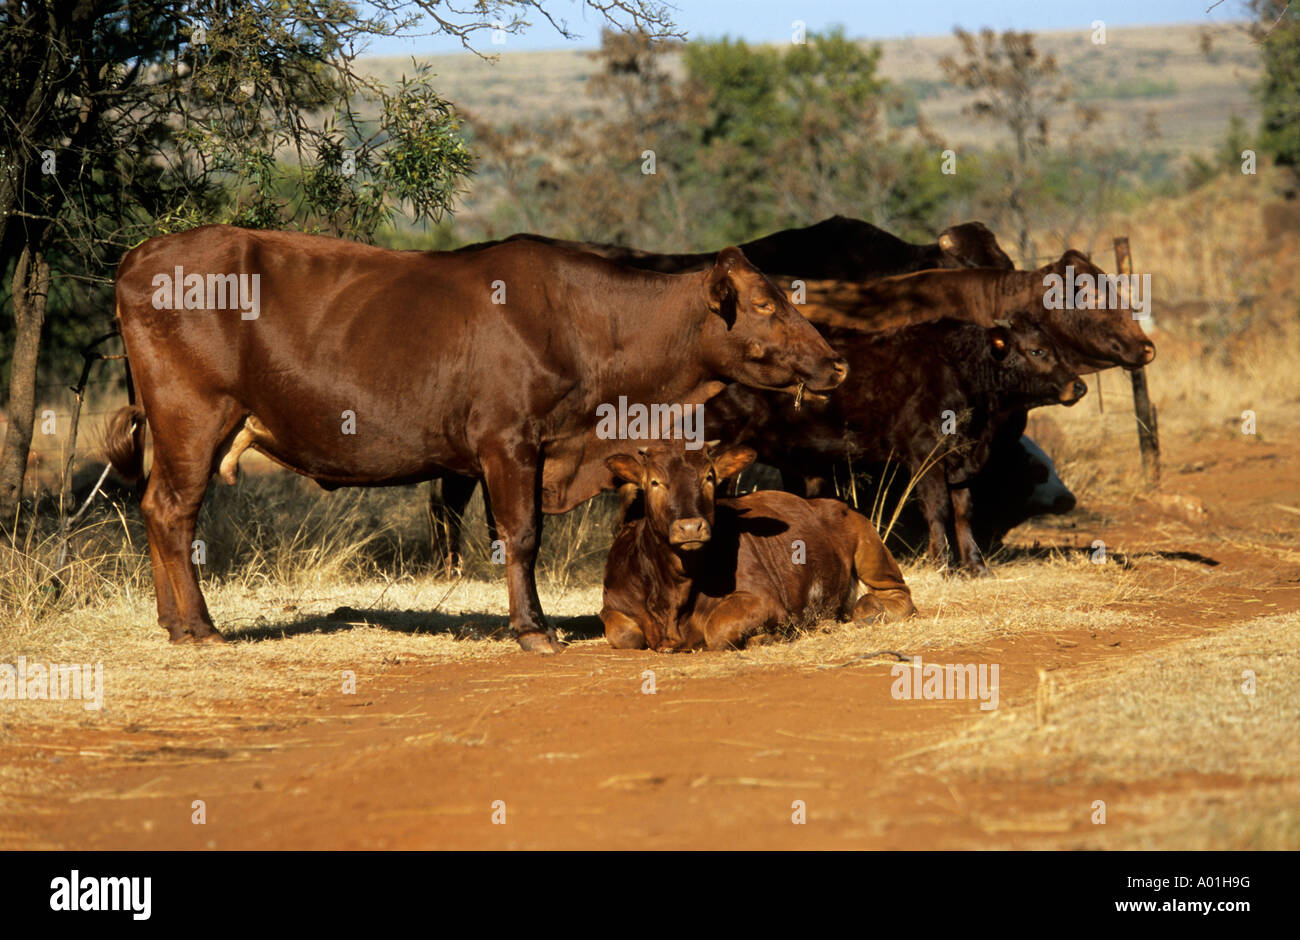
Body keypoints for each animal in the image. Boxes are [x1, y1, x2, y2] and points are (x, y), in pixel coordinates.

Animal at [103, 225, 846, 650]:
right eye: (764, 304)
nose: (835, 362)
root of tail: (139, 255)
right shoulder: (508, 442)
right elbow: (521, 536)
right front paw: (534, 631)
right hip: (194, 416)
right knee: (173, 512)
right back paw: (200, 629)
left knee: (154, 508)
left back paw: (172, 624)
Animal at [599, 440, 916, 651]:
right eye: (654, 482)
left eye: (709, 477)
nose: (690, 527)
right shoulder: (613, 605)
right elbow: (624, 634)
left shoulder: (765, 601)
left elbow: (717, 628)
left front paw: (771, 636)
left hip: (871, 550)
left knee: (896, 596)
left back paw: (868, 610)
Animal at [705, 317, 1087, 576]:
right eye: (1037, 350)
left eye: (1055, 348)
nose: (1079, 386)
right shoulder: (926, 456)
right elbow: (938, 509)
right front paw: (943, 564)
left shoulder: (959, 459)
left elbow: (964, 512)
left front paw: (976, 567)